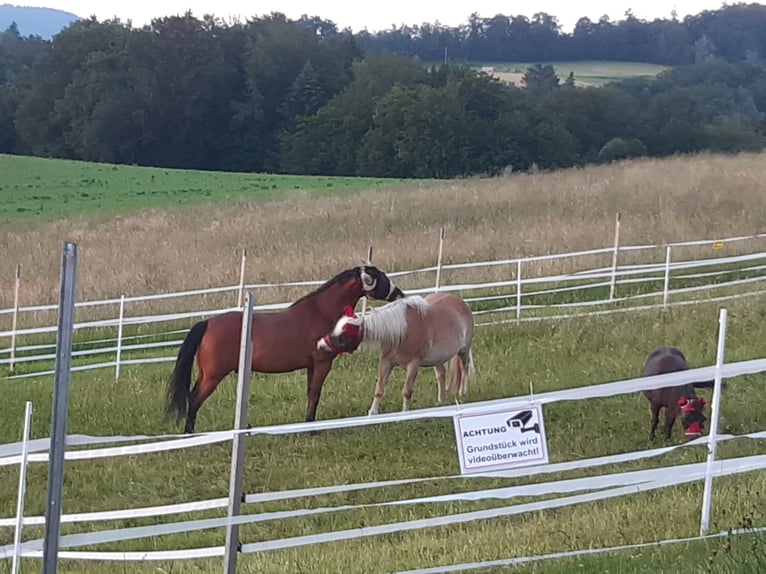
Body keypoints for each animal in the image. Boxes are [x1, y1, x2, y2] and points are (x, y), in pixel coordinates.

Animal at [165, 265, 405, 433]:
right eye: (383, 278)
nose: (399, 294)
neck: (320, 313)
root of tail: (208, 323)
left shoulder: (311, 366)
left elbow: (310, 393)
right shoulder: (322, 363)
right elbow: (315, 394)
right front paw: (312, 430)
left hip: (206, 374)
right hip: (213, 376)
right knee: (195, 399)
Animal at [317, 292, 475, 415]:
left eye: (343, 334)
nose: (321, 345)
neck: (402, 330)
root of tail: (462, 303)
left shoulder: (413, 364)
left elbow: (407, 391)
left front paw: (404, 414)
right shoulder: (386, 362)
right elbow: (379, 389)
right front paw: (372, 413)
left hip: (464, 350)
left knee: (464, 368)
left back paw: (462, 393)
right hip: (437, 359)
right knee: (441, 374)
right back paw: (441, 400)